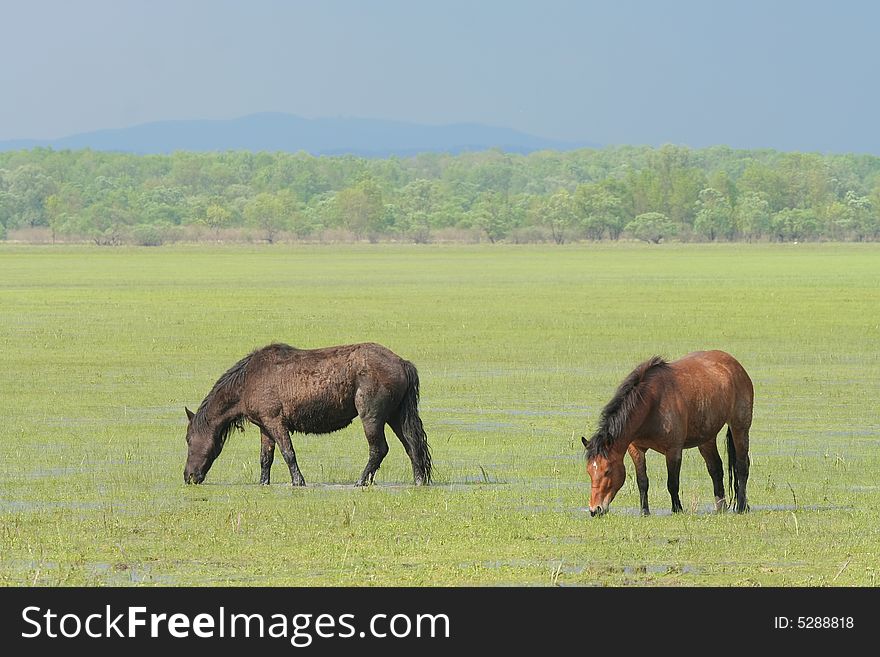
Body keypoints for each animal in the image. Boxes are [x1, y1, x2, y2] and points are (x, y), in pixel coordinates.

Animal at [183, 344, 434, 486]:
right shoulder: (264, 426)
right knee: (412, 446)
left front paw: (298, 481)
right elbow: (265, 459)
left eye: (188, 440)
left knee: (378, 449)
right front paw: (264, 483)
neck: (248, 381)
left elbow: (288, 453)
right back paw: (419, 481)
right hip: (396, 416)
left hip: (372, 417)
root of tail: (402, 362)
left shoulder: (276, 422)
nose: (188, 476)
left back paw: (361, 481)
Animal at [580, 352, 752, 516]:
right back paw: (720, 507)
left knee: (741, 466)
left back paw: (742, 506)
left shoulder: (673, 451)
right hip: (707, 437)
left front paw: (677, 509)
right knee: (715, 468)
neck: (652, 404)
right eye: (589, 471)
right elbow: (642, 481)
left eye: (607, 470)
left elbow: (672, 483)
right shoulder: (636, 449)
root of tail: (735, 365)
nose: (595, 509)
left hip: (740, 428)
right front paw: (644, 511)